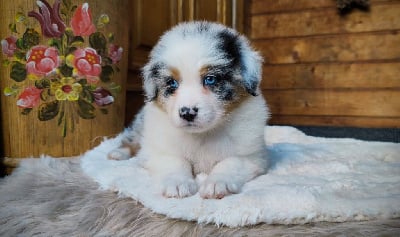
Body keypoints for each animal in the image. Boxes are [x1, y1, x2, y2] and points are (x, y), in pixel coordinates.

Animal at [109, 21, 268, 199]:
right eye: (172, 82)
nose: (187, 113)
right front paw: (177, 184)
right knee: (131, 140)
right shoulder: (157, 151)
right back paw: (117, 153)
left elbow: (230, 162)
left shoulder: (253, 156)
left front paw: (217, 183)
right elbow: (176, 161)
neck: (202, 135)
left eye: (210, 79)